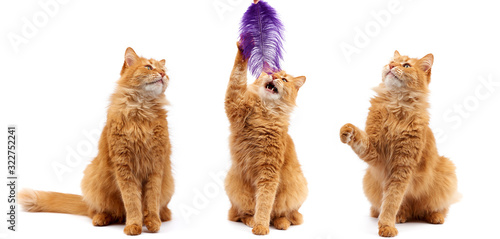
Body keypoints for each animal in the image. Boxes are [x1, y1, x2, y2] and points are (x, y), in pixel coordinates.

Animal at [19, 47, 176, 236]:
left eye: (164, 70)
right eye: (148, 67)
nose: (162, 74)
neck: (142, 111)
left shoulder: (156, 166)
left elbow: (151, 200)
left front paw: (152, 222)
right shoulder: (124, 165)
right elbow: (132, 201)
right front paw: (134, 225)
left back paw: (162, 216)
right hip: (92, 178)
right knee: (97, 211)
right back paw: (101, 218)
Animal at [224, 42, 308, 235]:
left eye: (284, 79)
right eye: (271, 73)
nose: (275, 76)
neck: (264, 113)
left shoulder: (268, 171)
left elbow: (264, 203)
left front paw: (261, 226)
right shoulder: (235, 103)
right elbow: (237, 76)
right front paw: (244, 47)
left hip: (297, 189)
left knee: (285, 215)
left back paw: (281, 223)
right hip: (236, 189)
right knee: (240, 214)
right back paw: (250, 220)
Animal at [340, 51, 458, 237]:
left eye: (406, 65)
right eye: (392, 61)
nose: (391, 66)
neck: (396, 105)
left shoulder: (402, 165)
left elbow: (392, 200)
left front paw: (387, 226)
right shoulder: (375, 153)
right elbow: (360, 140)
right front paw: (347, 131)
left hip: (447, 170)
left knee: (438, 208)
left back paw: (435, 216)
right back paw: (400, 215)